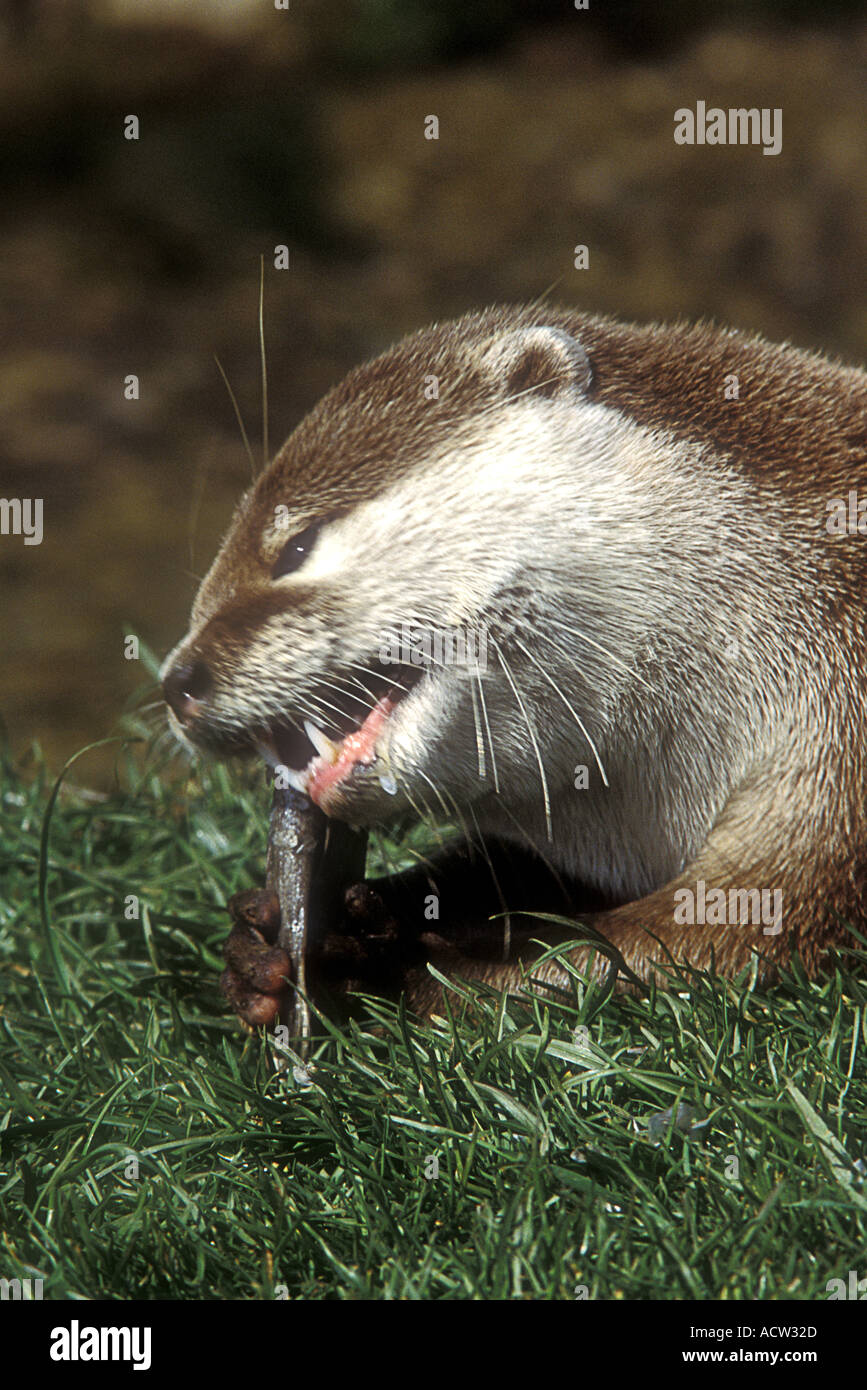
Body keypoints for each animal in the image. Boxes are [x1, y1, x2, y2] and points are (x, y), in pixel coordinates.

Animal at [161, 305, 867, 1025]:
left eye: (296, 546)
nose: (177, 683)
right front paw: (264, 945)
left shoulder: (839, 764)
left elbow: (705, 939)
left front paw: (388, 969)